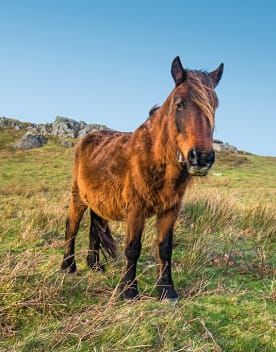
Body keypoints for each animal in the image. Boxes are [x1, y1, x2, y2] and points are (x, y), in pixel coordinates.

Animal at [61, 56, 223, 302]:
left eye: (214, 105)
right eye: (179, 104)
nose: (202, 158)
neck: (155, 158)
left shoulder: (170, 210)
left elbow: (165, 248)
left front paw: (167, 290)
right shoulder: (136, 209)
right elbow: (132, 248)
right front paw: (129, 290)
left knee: (94, 228)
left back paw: (95, 265)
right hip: (77, 196)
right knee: (72, 227)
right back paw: (68, 266)